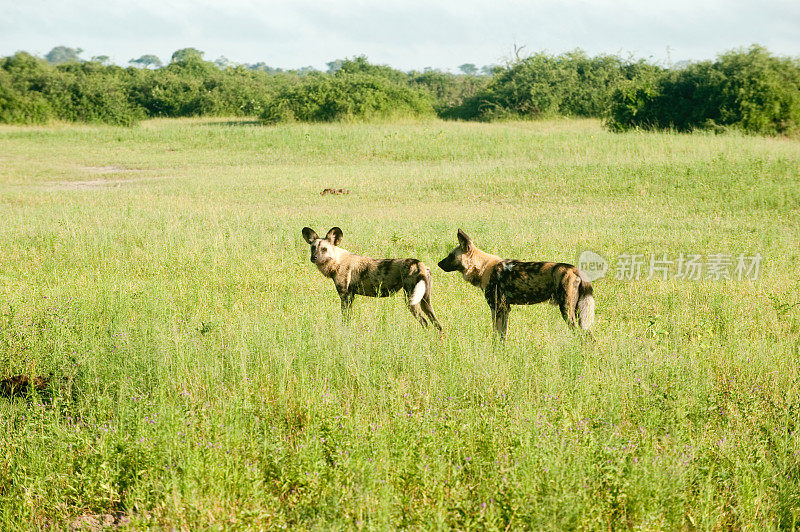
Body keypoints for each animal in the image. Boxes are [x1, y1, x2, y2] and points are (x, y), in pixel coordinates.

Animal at [302, 227, 444, 330]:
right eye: (313, 248)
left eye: (324, 249)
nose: (313, 258)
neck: (337, 261)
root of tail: (419, 263)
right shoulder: (351, 295)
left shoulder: (345, 295)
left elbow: (345, 319)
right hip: (425, 301)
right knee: (437, 324)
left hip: (411, 299)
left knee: (424, 322)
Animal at [438, 229, 592, 340]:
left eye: (451, 256)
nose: (438, 263)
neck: (483, 267)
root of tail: (575, 269)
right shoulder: (505, 309)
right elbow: (502, 336)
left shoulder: (497, 308)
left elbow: (495, 336)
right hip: (579, 314)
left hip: (567, 311)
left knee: (580, 336)